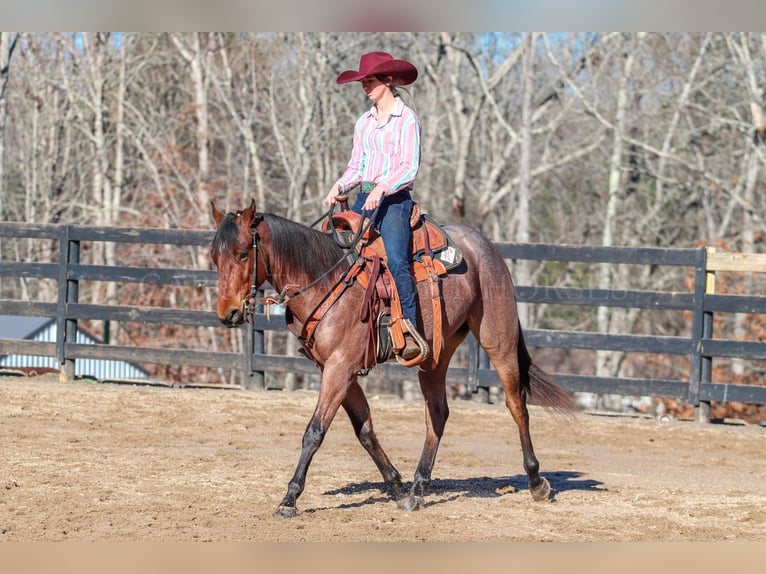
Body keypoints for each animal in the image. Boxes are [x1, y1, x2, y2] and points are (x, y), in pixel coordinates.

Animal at [210, 200, 576, 520]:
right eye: (214, 257)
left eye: (242, 253)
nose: (228, 313)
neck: (327, 281)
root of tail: (485, 246)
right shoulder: (339, 370)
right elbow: (365, 430)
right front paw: (398, 487)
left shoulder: (339, 368)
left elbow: (315, 431)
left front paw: (289, 499)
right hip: (436, 354)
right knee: (437, 413)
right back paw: (417, 488)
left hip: (498, 339)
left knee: (517, 405)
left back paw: (536, 481)